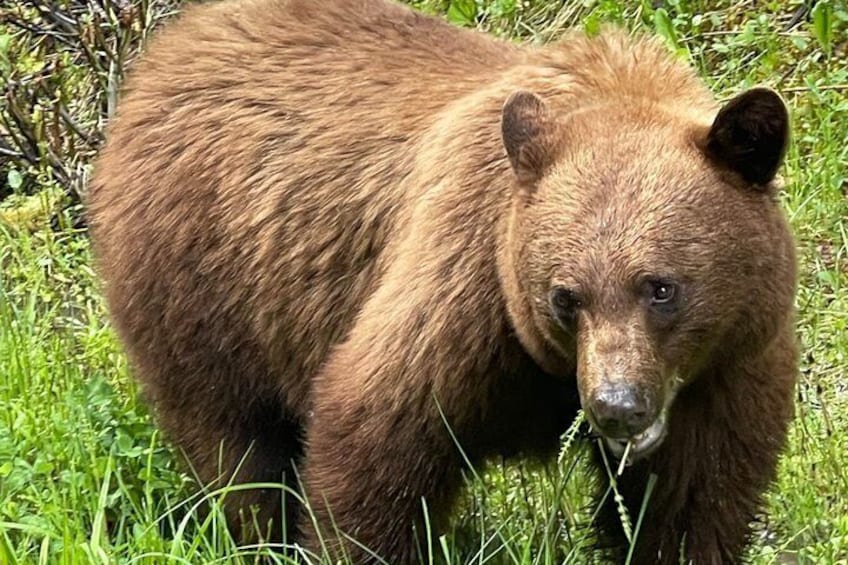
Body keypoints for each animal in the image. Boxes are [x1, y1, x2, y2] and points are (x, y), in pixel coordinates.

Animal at [86, 0, 799, 562]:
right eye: (565, 297)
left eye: (661, 287)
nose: (616, 406)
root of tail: (163, 53)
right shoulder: (467, 287)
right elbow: (376, 432)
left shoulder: (729, 367)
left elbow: (689, 502)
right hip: (200, 282)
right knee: (235, 449)